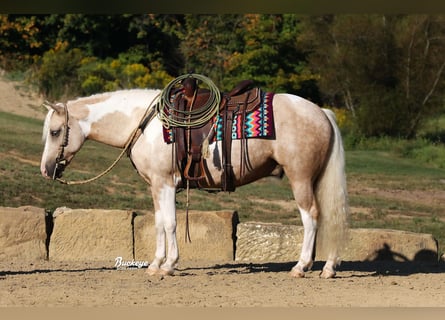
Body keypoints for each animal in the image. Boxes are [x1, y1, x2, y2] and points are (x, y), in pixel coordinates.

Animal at [40, 86, 346, 278]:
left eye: (55, 132)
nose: (46, 170)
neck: (147, 124)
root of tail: (322, 112)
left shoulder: (165, 183)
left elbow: (170, 223)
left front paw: (169, 265)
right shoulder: (156, 186)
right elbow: (159, 223)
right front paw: (156, 264)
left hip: (300, 178)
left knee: (312, 217)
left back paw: (301, 266)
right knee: (329, 217)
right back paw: (328, 268)